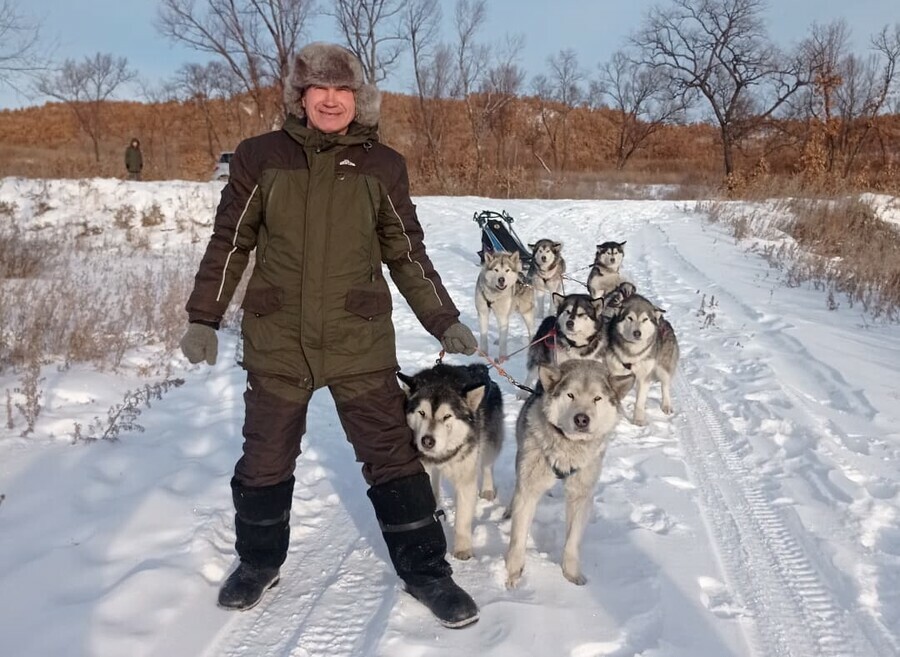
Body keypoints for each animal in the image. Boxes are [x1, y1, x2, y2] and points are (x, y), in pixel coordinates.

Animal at [398, 364, 502, 560]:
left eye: (447, 416)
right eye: (421, 412)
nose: (427, 441)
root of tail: (479, 367)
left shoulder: (466, 478)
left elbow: (462, 518)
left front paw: (462, 549)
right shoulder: (424, 466)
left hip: (488, 444)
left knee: (487, 466)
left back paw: (487, 489)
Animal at [506, 362, 624, 588]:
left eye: (597, 398)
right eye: (570, 395)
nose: (582, 419)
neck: (568, 447)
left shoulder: (580, 495)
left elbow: (572, 541)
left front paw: (571, 573)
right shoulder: (528, 489)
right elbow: (518, 537)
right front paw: (513, 572)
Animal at [608, 292, 680, 426]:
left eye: (645, 319)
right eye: (629, 318)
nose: (637, 333)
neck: (633, 353)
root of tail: (663, 320)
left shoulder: (644, 376)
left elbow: (640, 401)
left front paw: (638, 420)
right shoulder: (616, 372)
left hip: (663, 368)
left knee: (665, 386)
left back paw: (666, 405)